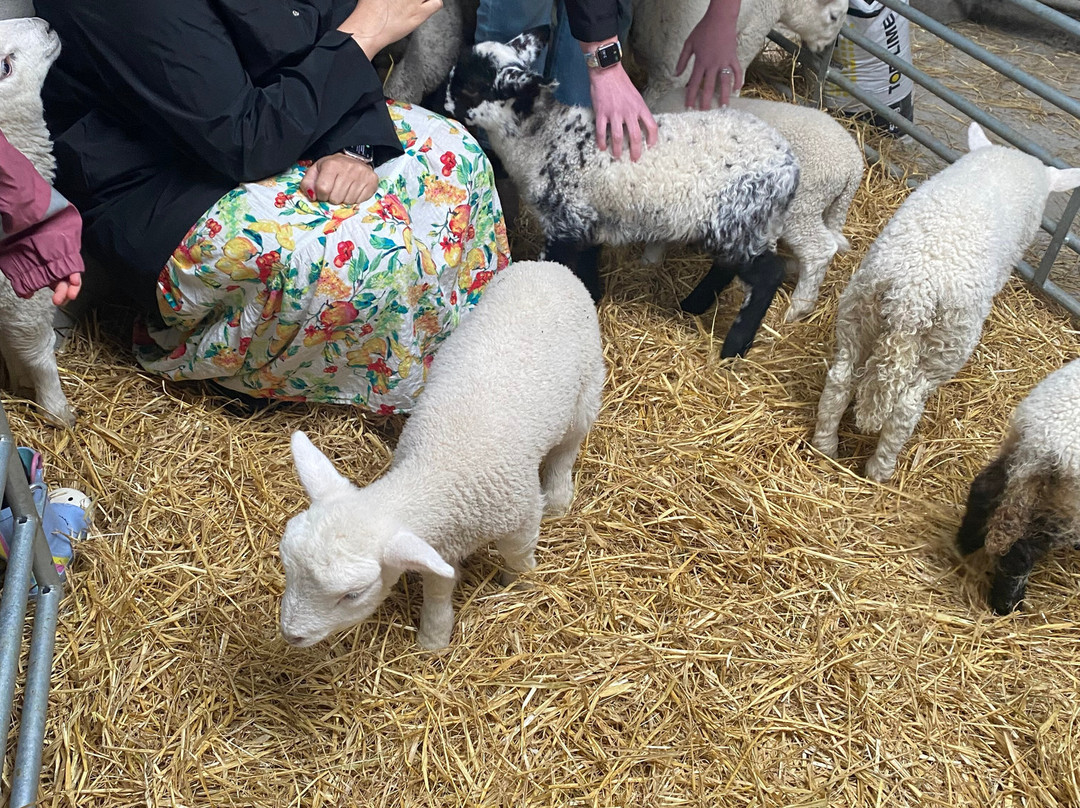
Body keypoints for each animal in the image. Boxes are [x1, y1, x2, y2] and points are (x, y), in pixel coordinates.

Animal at [278, 260, 605, 650]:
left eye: (353, 594)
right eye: (286, 565)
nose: (290, 634)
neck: (437, 468)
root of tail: (547, 266)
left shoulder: (520, 515)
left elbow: (519, 553)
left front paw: (523, 583)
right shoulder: (440, 545)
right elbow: (438, 586)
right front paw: (434, 636)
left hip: (587, 387)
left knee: (569, 446)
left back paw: (557, 497)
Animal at [445, 28, 801, 358]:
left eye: (470, 86)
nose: (443, 103)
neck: (545, 138)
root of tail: (790, 167)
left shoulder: (566, 221)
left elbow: (557, 265)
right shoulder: (590, 217)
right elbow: (588, 263)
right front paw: (591, 297)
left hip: (739, 217)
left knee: (769, 274)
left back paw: (734, 346)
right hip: (743, 223)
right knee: (728, 266)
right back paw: (693, 305)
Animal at [647, 90, 864, 323]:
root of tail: (854, 164)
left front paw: (650, 260)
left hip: (802, 203)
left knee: (819, 249)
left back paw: (798, 307)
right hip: (825, 205)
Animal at [812, 122, 1080, 483]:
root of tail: (911, 295)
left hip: (856, 313)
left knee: (840, 378)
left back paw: (825, 446)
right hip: (946, 347)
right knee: (905, 409)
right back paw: (880, 470)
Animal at [955, 358, 1080, 615]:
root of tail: (1042, 443)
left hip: (1014, 450)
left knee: (982, 490)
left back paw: (965, 545)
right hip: (1066, 500)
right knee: (1022, 551)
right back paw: (1007, 605)